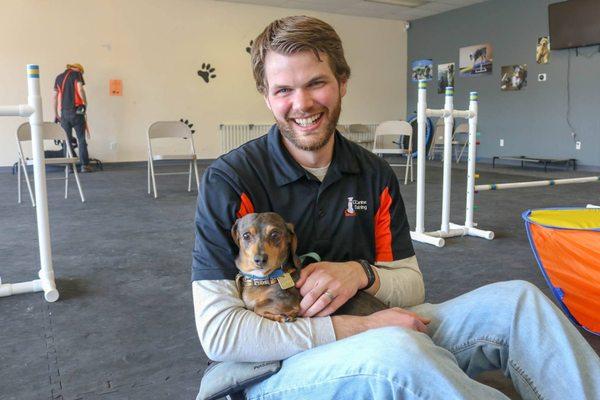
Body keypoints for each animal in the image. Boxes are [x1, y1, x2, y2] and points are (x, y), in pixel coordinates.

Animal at [232, 212, 386, 322]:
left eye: (275, 234)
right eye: (246, 236)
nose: (260, 259)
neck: (264, 279)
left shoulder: (290, 301)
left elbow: (258, 307)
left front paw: (284, 316)